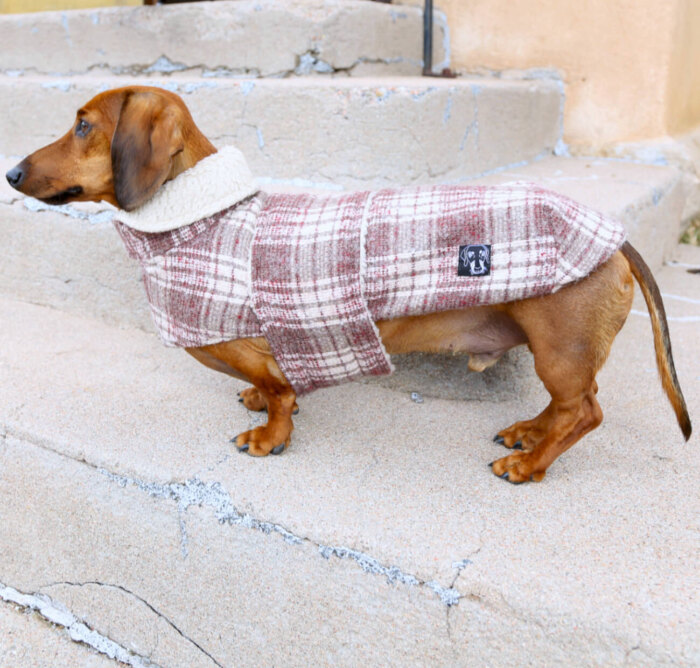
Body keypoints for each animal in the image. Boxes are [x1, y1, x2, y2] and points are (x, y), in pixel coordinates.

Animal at [5, 90, 692, 486]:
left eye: (83, 125)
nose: (10, 172)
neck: (202, 215)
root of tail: (614, 233)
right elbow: (268, 388)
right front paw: (257, 404)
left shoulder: (250, 346)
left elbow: (279, 391)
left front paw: (270, 434)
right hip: (554, 349)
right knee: (567, 406)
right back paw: (529, 432)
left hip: (559, 347)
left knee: (586, 410)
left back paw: (529, 463)